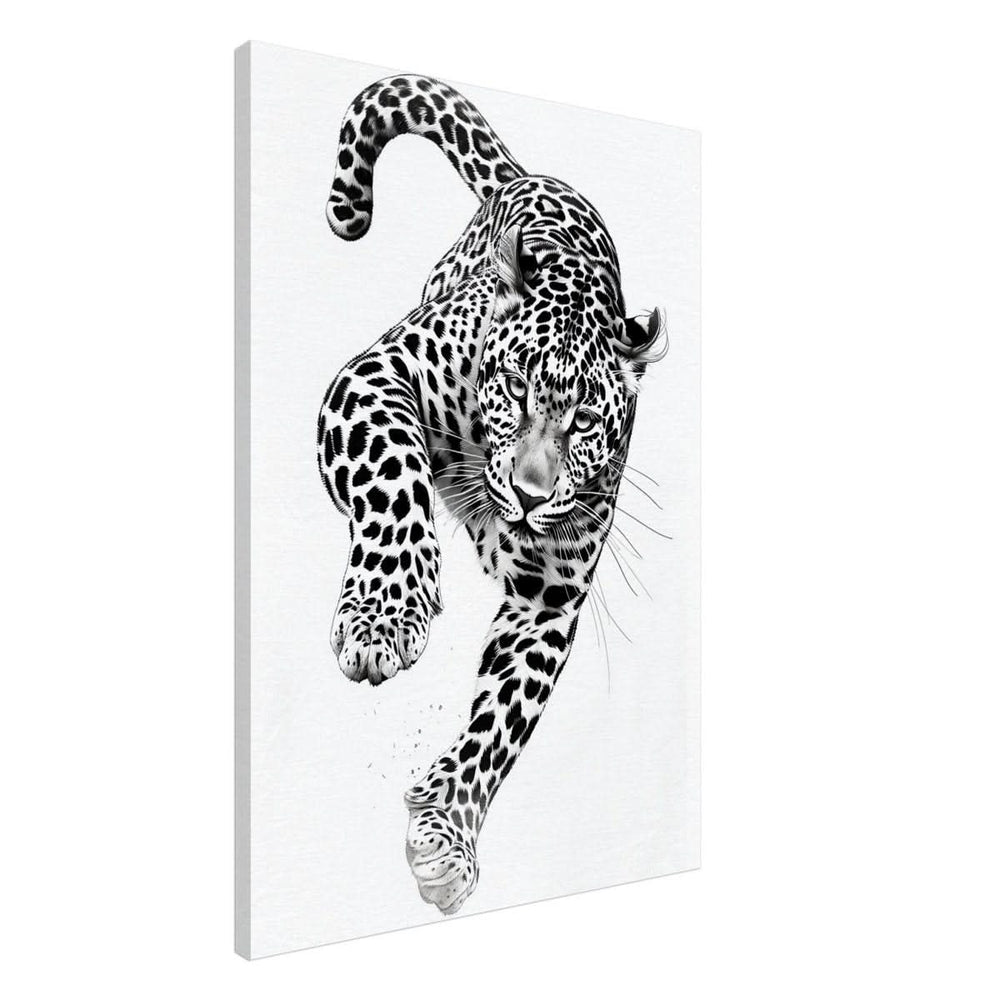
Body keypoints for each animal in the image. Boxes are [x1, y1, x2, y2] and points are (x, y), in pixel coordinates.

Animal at [318, 74, 668, 915]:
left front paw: (446, 835)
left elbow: (502, 722)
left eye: (584, 422)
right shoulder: (375, 377)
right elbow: (394, 479)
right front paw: (384, 616)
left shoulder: (548, 598)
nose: (530, 495)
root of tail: (533, 175)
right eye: (513, 386)